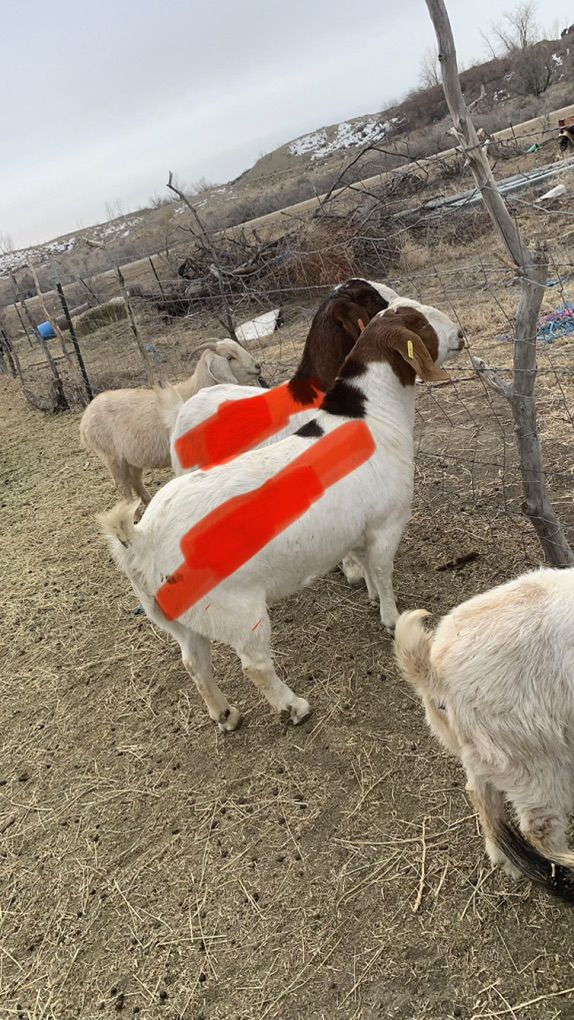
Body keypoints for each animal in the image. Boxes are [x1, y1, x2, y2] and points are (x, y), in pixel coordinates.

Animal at [80, 339, 262, 505]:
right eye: (230, 357)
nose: (257, 366)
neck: (192, 389)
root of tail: (85, 418)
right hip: (111, 457)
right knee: (123, 486)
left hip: (130, 458)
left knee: (136, 482)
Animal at [394, 568, 574, 904]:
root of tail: (434, 669)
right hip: (536, 759)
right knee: (540, 830)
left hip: (491, 755)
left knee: (483, 799)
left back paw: (507, 858)